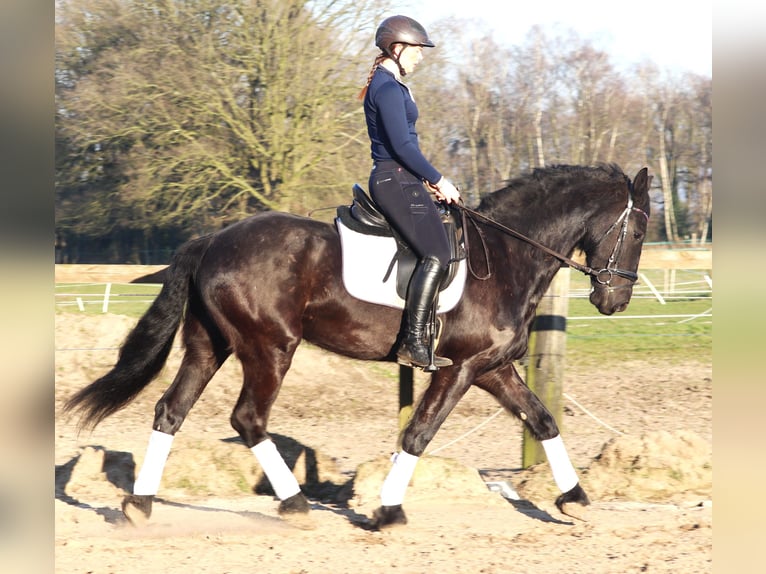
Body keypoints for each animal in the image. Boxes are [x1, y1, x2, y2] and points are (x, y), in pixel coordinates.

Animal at [67, 163, 656, 532]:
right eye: (638, 231)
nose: (615, 300)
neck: (508, 256)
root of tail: (212, 240)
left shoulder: (492, 369)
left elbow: (544, 421)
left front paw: (575, 499)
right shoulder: (460, 369)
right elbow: (418, 434)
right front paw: (388, 512)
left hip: (209, 346)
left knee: (171, 411)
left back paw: (139, 505)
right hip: (270, 348)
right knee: (249, 418)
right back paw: (295, 503)